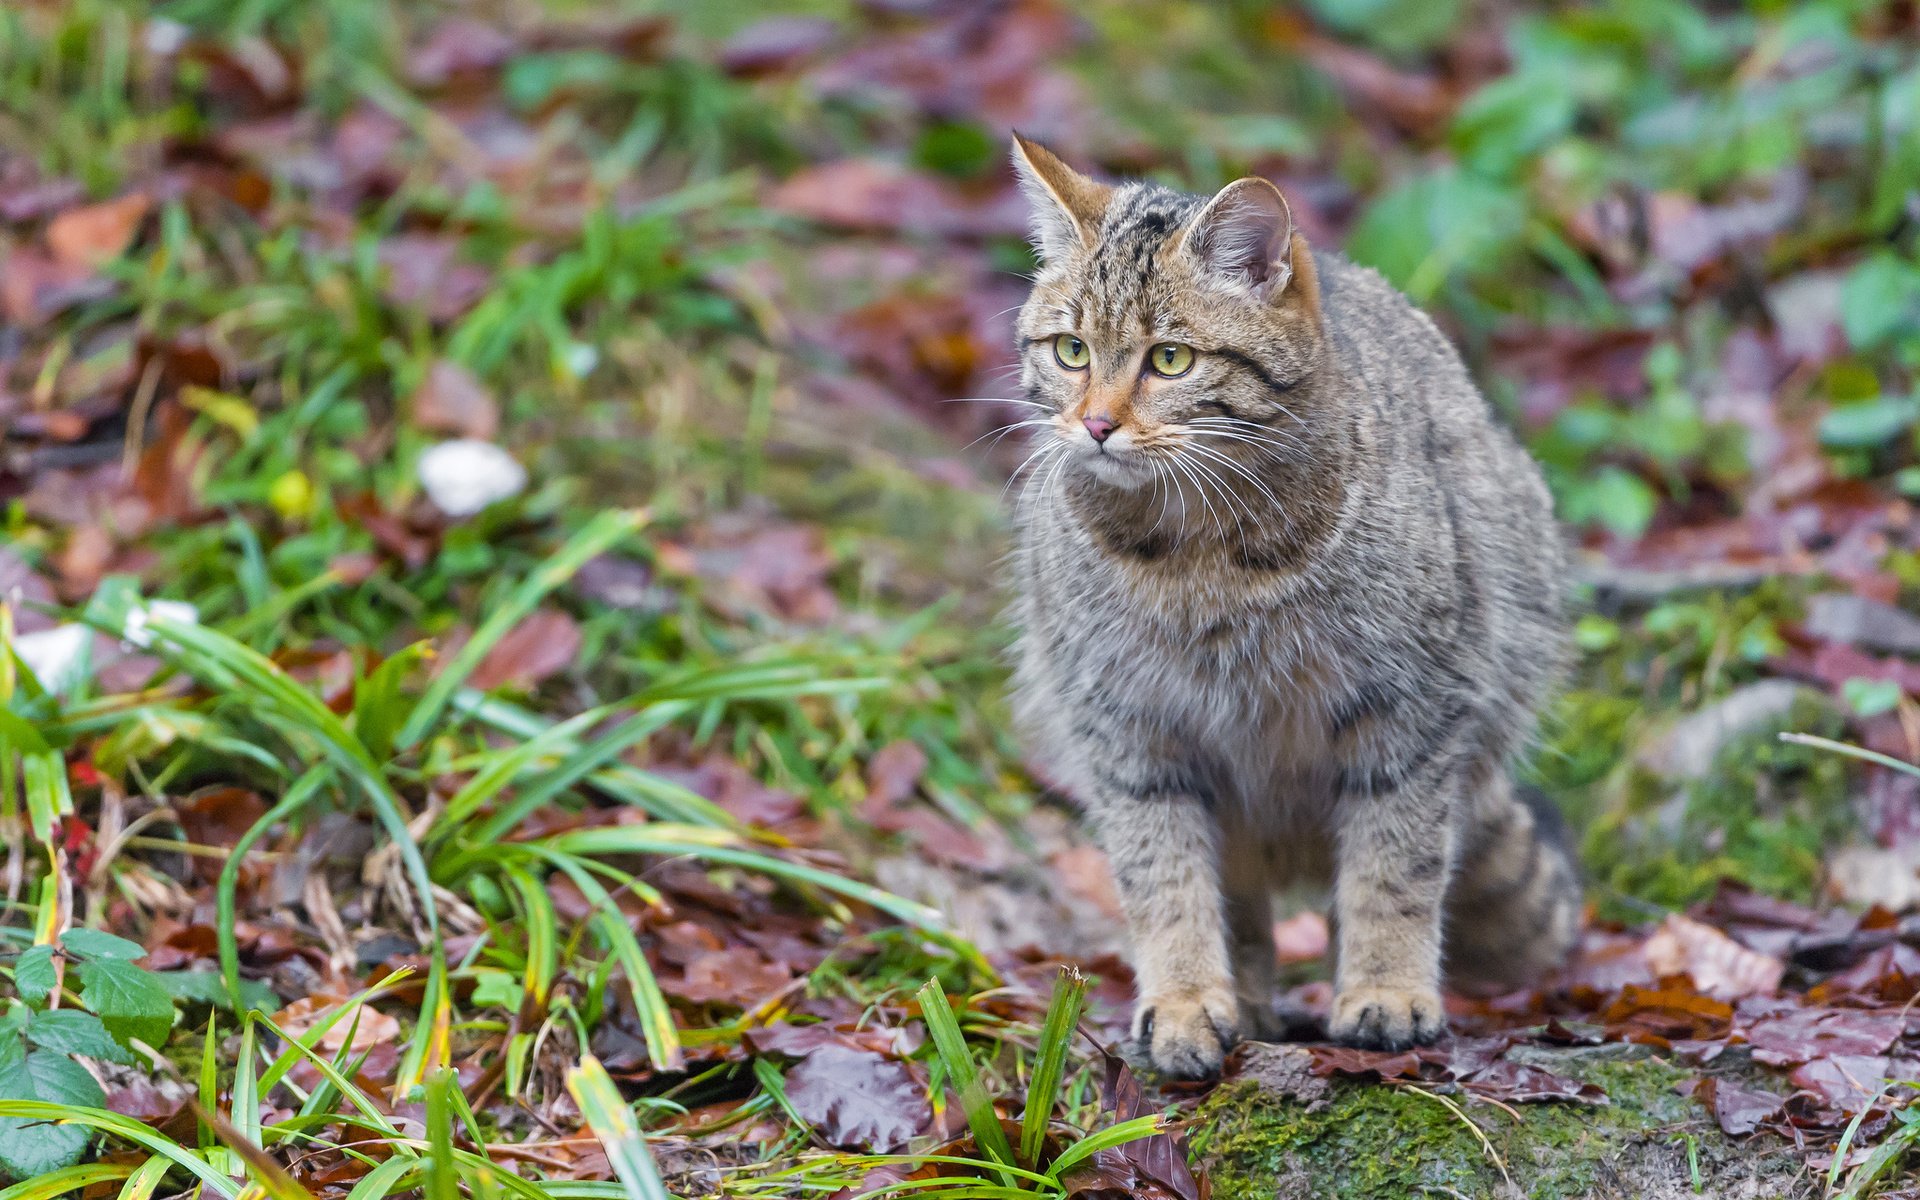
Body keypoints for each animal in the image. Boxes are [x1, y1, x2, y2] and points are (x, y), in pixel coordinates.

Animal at [1006, 138, 1574, 1075]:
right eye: (1071, 349)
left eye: (1170, 360)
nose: (1094, 425)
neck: (1197, 557)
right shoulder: (1130, 731)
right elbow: (1164, 881)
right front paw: (1186, 1001)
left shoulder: (1413, 716)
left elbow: (1395, 867)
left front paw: (1386, 990)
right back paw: (1243, 1003)